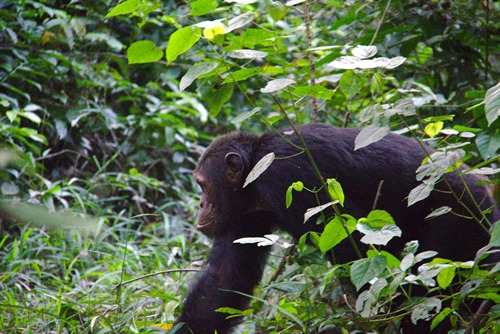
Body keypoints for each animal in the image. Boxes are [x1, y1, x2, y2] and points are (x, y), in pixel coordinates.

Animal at [175, 123, 496, 334]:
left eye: (202, 185)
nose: (201, 204)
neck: (255, 168)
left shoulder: (288, 176)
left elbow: (358, 245)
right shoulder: (243, 215)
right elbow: (226, 277)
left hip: (458, 218)